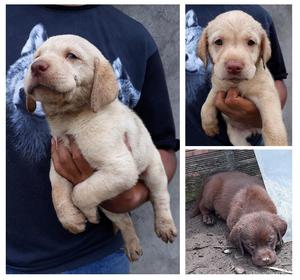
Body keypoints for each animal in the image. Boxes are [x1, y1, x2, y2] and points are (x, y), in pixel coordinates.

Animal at [25, 34, 177, 260]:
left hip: (154, 170)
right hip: (112, 205)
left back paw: (164, 226)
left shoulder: (121, 168)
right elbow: (58, 192)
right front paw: (71, 220)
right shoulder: (58, 162)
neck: (70, 119)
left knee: (160, 197)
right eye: (37, 56)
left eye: (72, 56)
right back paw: (131, 245)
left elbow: (80, 192)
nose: (36, 66)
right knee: (124, 221)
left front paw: (87, 213)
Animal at [198, 10, 288, 147]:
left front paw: (276, 144)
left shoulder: (266, 94)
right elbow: (206, 104)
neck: (238, 84)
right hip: (235, 137)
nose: (234, 67)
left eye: (251, 42)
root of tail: (252, 130)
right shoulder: (218, 87)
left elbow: (272, 126)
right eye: (218, 42)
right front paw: (209, 125)